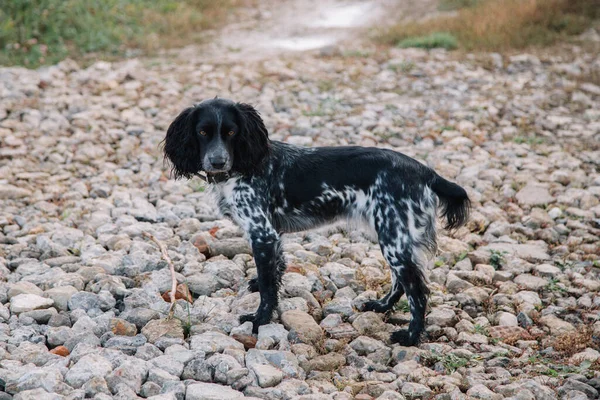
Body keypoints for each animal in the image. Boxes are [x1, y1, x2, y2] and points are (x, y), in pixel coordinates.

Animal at [163, 98, 468, 346]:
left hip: (394, 237)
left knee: (417, 290)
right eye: (203, 132)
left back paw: (411, 336)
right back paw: (381, 307)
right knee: (402, 282)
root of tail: (426, 172)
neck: (245, 166)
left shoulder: (262, 232)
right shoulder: (271, 234)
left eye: (231, 132)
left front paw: (260, 319)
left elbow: (268, 286)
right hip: (393, 236)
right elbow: (273, 273)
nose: (217, 161)